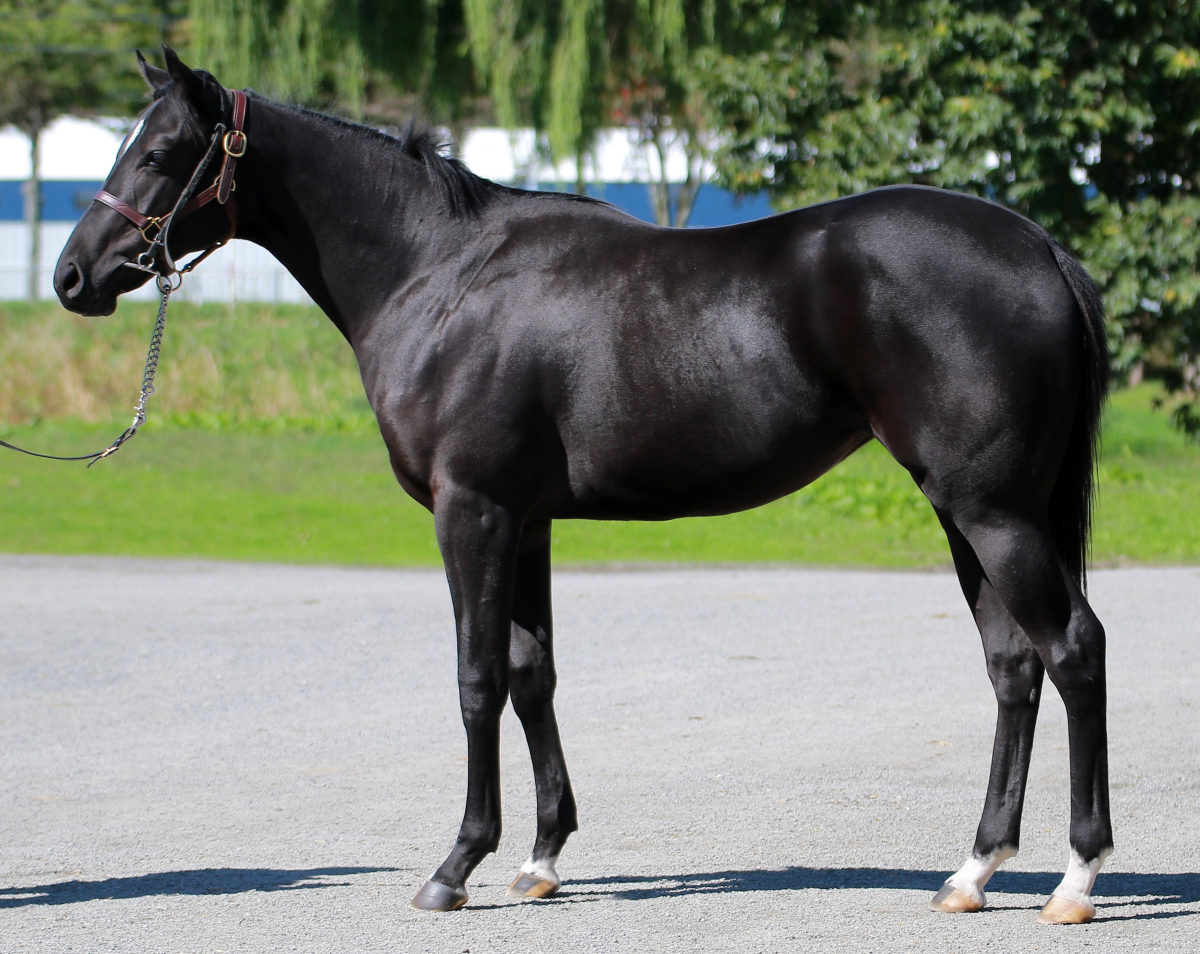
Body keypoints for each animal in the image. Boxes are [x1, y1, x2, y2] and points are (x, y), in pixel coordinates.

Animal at [54, 48, 1112, 924]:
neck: (437, 274)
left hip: (993, 512)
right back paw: (973, 872)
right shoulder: (525, 523)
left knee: (1072, 649)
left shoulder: (472, 511)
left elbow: (477, 679)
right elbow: (533, 673)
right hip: (966, 513)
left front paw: (456, 867)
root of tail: (1037, 246)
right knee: (1013, 667)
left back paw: (1075, 880)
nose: (72, 277)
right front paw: (540, 859)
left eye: (160, 154)